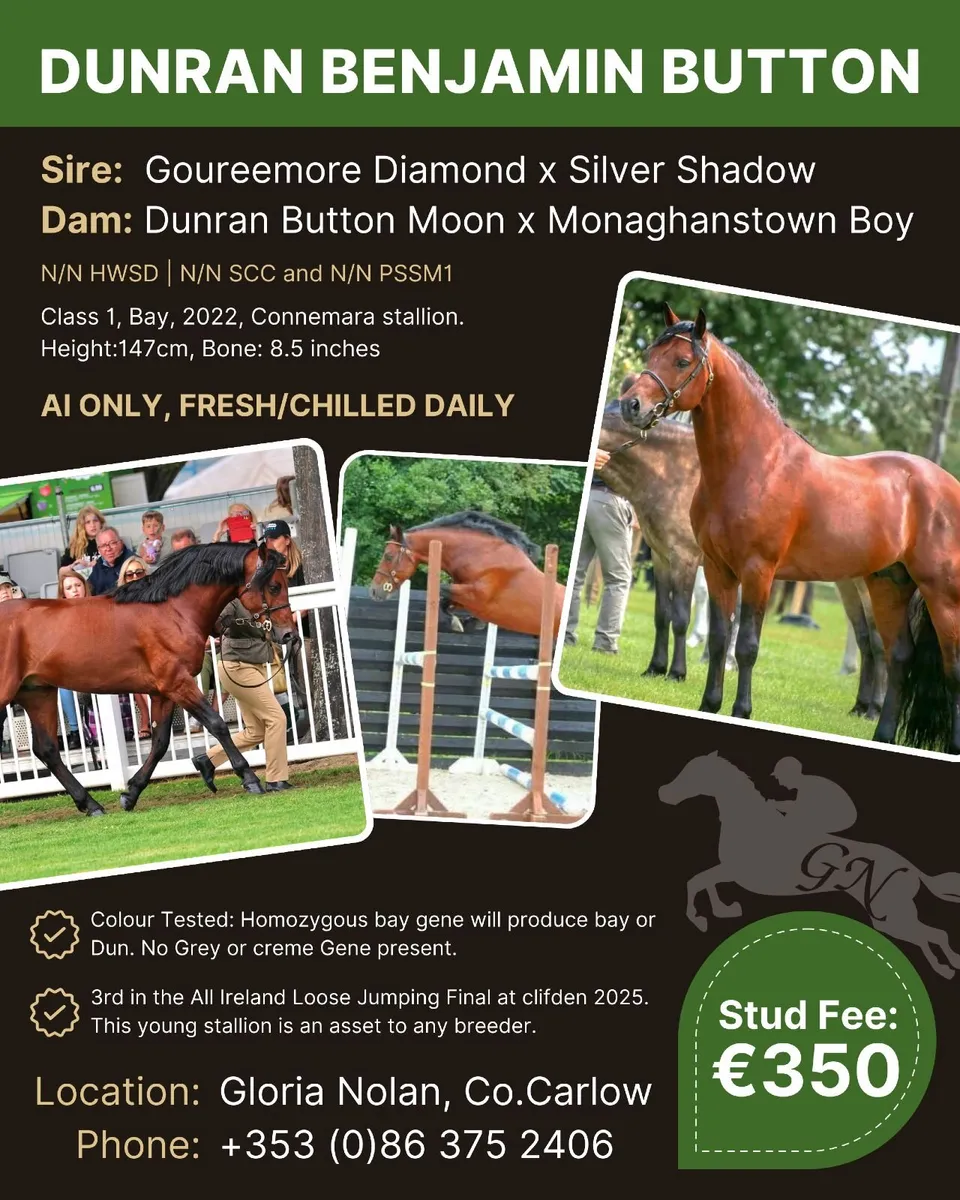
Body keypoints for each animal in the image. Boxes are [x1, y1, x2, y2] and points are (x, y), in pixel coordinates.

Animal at [0, 542, 299, 815]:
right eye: (274, 586)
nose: (289, 634)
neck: (171, 610)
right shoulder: (178, 683)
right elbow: (217, 725)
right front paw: (249, 778)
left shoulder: (163, 691)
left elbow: (159, 742)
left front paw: (130, 794)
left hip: (37, 693)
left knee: (47, 749)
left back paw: (91, 804)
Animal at [369, 511, 565, 638]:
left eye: (388, 556)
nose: (373, 591)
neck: (478, 555)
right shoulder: (464, 594)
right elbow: (445, 601)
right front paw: (464, 623)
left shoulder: (477, 595)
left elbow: (442, 589)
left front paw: (464, 623)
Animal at [603, 390, 886, 717]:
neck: (671, 472)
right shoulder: (663, 558)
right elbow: (662, 615)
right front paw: (655, 668)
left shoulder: (685, 559)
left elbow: (681, 617)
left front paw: (677, 672)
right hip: (848, 584)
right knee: (865, 638)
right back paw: (861, 706)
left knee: (879, 641)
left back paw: (875, 709)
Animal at [660, 752, 960, 978]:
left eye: (693, 773)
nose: (663, 793)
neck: (748, 821)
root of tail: (911, 868)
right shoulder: (730, 871)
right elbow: (704, 882)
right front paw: (724, 910)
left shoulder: (735, 871)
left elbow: (697, 882)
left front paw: (699, 918)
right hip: (891, 917)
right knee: (933, 935)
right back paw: (948, 965)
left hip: (889, 915)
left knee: (932, 934)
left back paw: (945, 967)